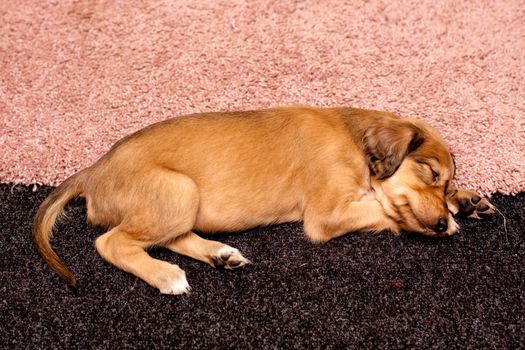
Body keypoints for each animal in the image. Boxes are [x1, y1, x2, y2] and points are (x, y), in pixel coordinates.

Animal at [31, 106, 492, 296]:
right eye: (431, 173)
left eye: (444, 181)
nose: (440, 225)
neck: (353, 139)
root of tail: (94, 170)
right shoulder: (326, 215)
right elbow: (384, 210)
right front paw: (453, 217)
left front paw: (466, 201)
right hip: (180, 191)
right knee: (111, 242)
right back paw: (166, 276)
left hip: (179, 203)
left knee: (167, 236)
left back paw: (220, 255)